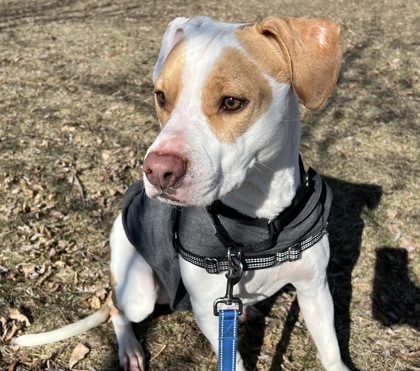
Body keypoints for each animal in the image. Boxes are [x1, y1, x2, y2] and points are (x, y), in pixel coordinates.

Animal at [13, 16, 348, 370]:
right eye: (161, 97)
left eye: (232, 102)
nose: (157, 170)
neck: (258, 224)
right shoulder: (209, 312)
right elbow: (233, 360)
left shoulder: (315, 290)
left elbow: (330, 348)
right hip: (139, 292)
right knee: (117, 309)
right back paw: (129, 348)